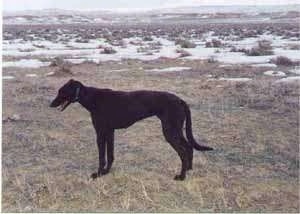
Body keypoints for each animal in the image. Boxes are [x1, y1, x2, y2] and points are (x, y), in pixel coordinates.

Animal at [49, 79, 213, 180]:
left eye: (61, 92)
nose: (50, 105)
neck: (92, 97)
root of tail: (180, 100)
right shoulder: (110, 132)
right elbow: (110, 155)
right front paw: (107, 172)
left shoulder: (100, 133)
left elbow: (102, 157)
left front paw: (99, 174)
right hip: (176, 130)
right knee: (189, 147)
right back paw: (189, 170)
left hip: (170, 131)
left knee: (183, 152)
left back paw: (181, 177)